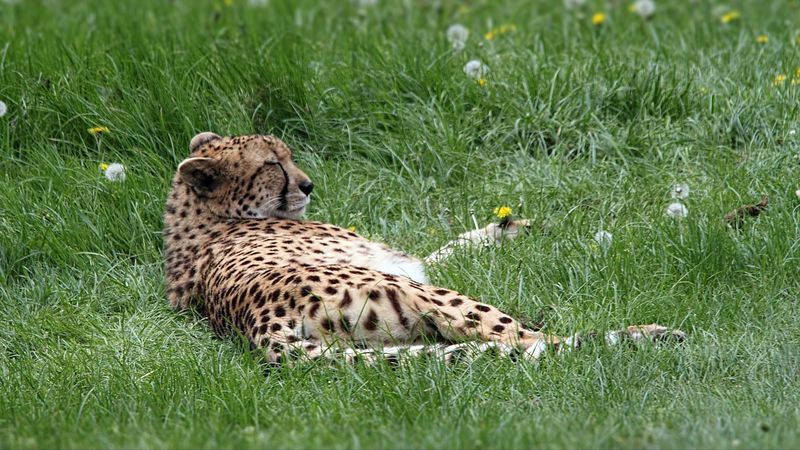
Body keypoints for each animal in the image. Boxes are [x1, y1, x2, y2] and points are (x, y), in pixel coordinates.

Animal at [164, 131, 685, 365]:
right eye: (272, 164)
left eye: (287, 155)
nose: (309, 185)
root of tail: (259, 329)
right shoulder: (401, 266)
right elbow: (440, 252)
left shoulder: (403, 261)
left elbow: (449, 245)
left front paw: (508, 228)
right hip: (428, 297)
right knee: (529, 342)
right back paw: (645, 334)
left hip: (396, 339)